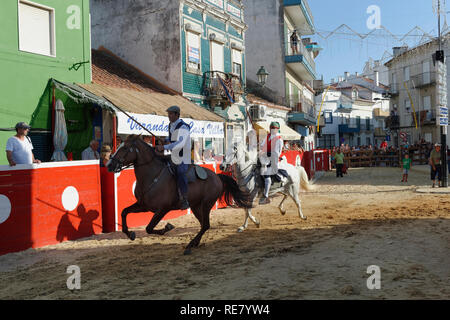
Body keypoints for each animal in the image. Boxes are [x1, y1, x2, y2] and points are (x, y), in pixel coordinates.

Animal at [106, 135, 253, 255]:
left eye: (125, 148)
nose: (109, 164)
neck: (153, 176)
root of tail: (217, 176)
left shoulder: (162, 209)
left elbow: (149, 228)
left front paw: (167, 227)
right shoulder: (143, 205)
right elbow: (124, 212)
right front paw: (130, 233)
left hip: (206, 204)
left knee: (206, 225)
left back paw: (190, 245)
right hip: (196, 206)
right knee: (204, 225)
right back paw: (194, 243)